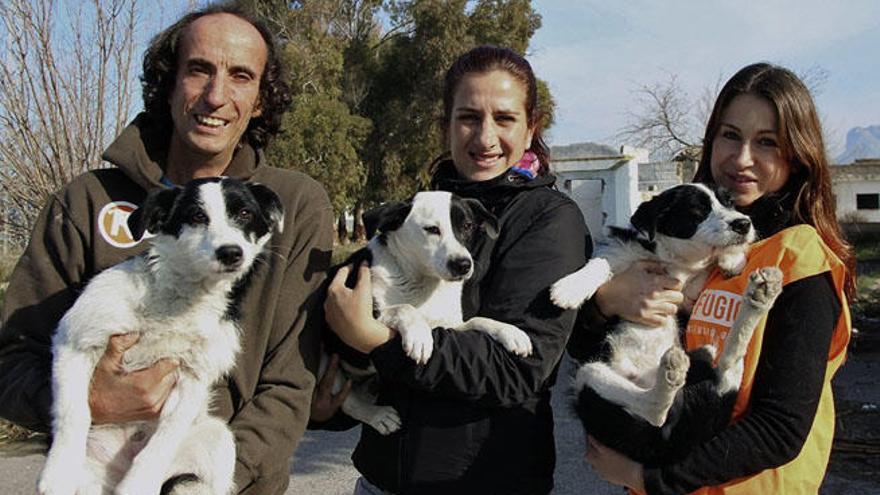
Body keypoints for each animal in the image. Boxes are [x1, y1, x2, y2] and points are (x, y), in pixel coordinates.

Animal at [38, 178, 282, 495]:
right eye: (196, 216)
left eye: (244, 213)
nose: (231, 253)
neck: (182, 300)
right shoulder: (75, 341)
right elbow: (74, 412)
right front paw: (60, 471)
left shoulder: (193, 379)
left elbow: (164, 439)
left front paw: (138, 483)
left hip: (217, 441)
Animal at [324, 192, 528, 436]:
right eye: (432, 229)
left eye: (467, 226)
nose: (463, 265)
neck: (422, 282)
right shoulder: (365, 312)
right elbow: (404, 308)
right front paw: (419, 336)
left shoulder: (450, 325)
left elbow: (478, 319)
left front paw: (510, 332)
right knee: (347, 401)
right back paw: (378, 415)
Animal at [552, 183, 784, 464]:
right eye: (697, 211)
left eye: (730, 203)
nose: (743, 223)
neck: (676, 261)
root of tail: (668, 446)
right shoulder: (619, 251)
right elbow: (600, 263)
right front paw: (569, 289)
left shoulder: (691, 291)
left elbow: (711, 264)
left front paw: (732, 259)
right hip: (590, 378)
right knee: (657, 408)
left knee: (725, 370)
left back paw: (760, 295)